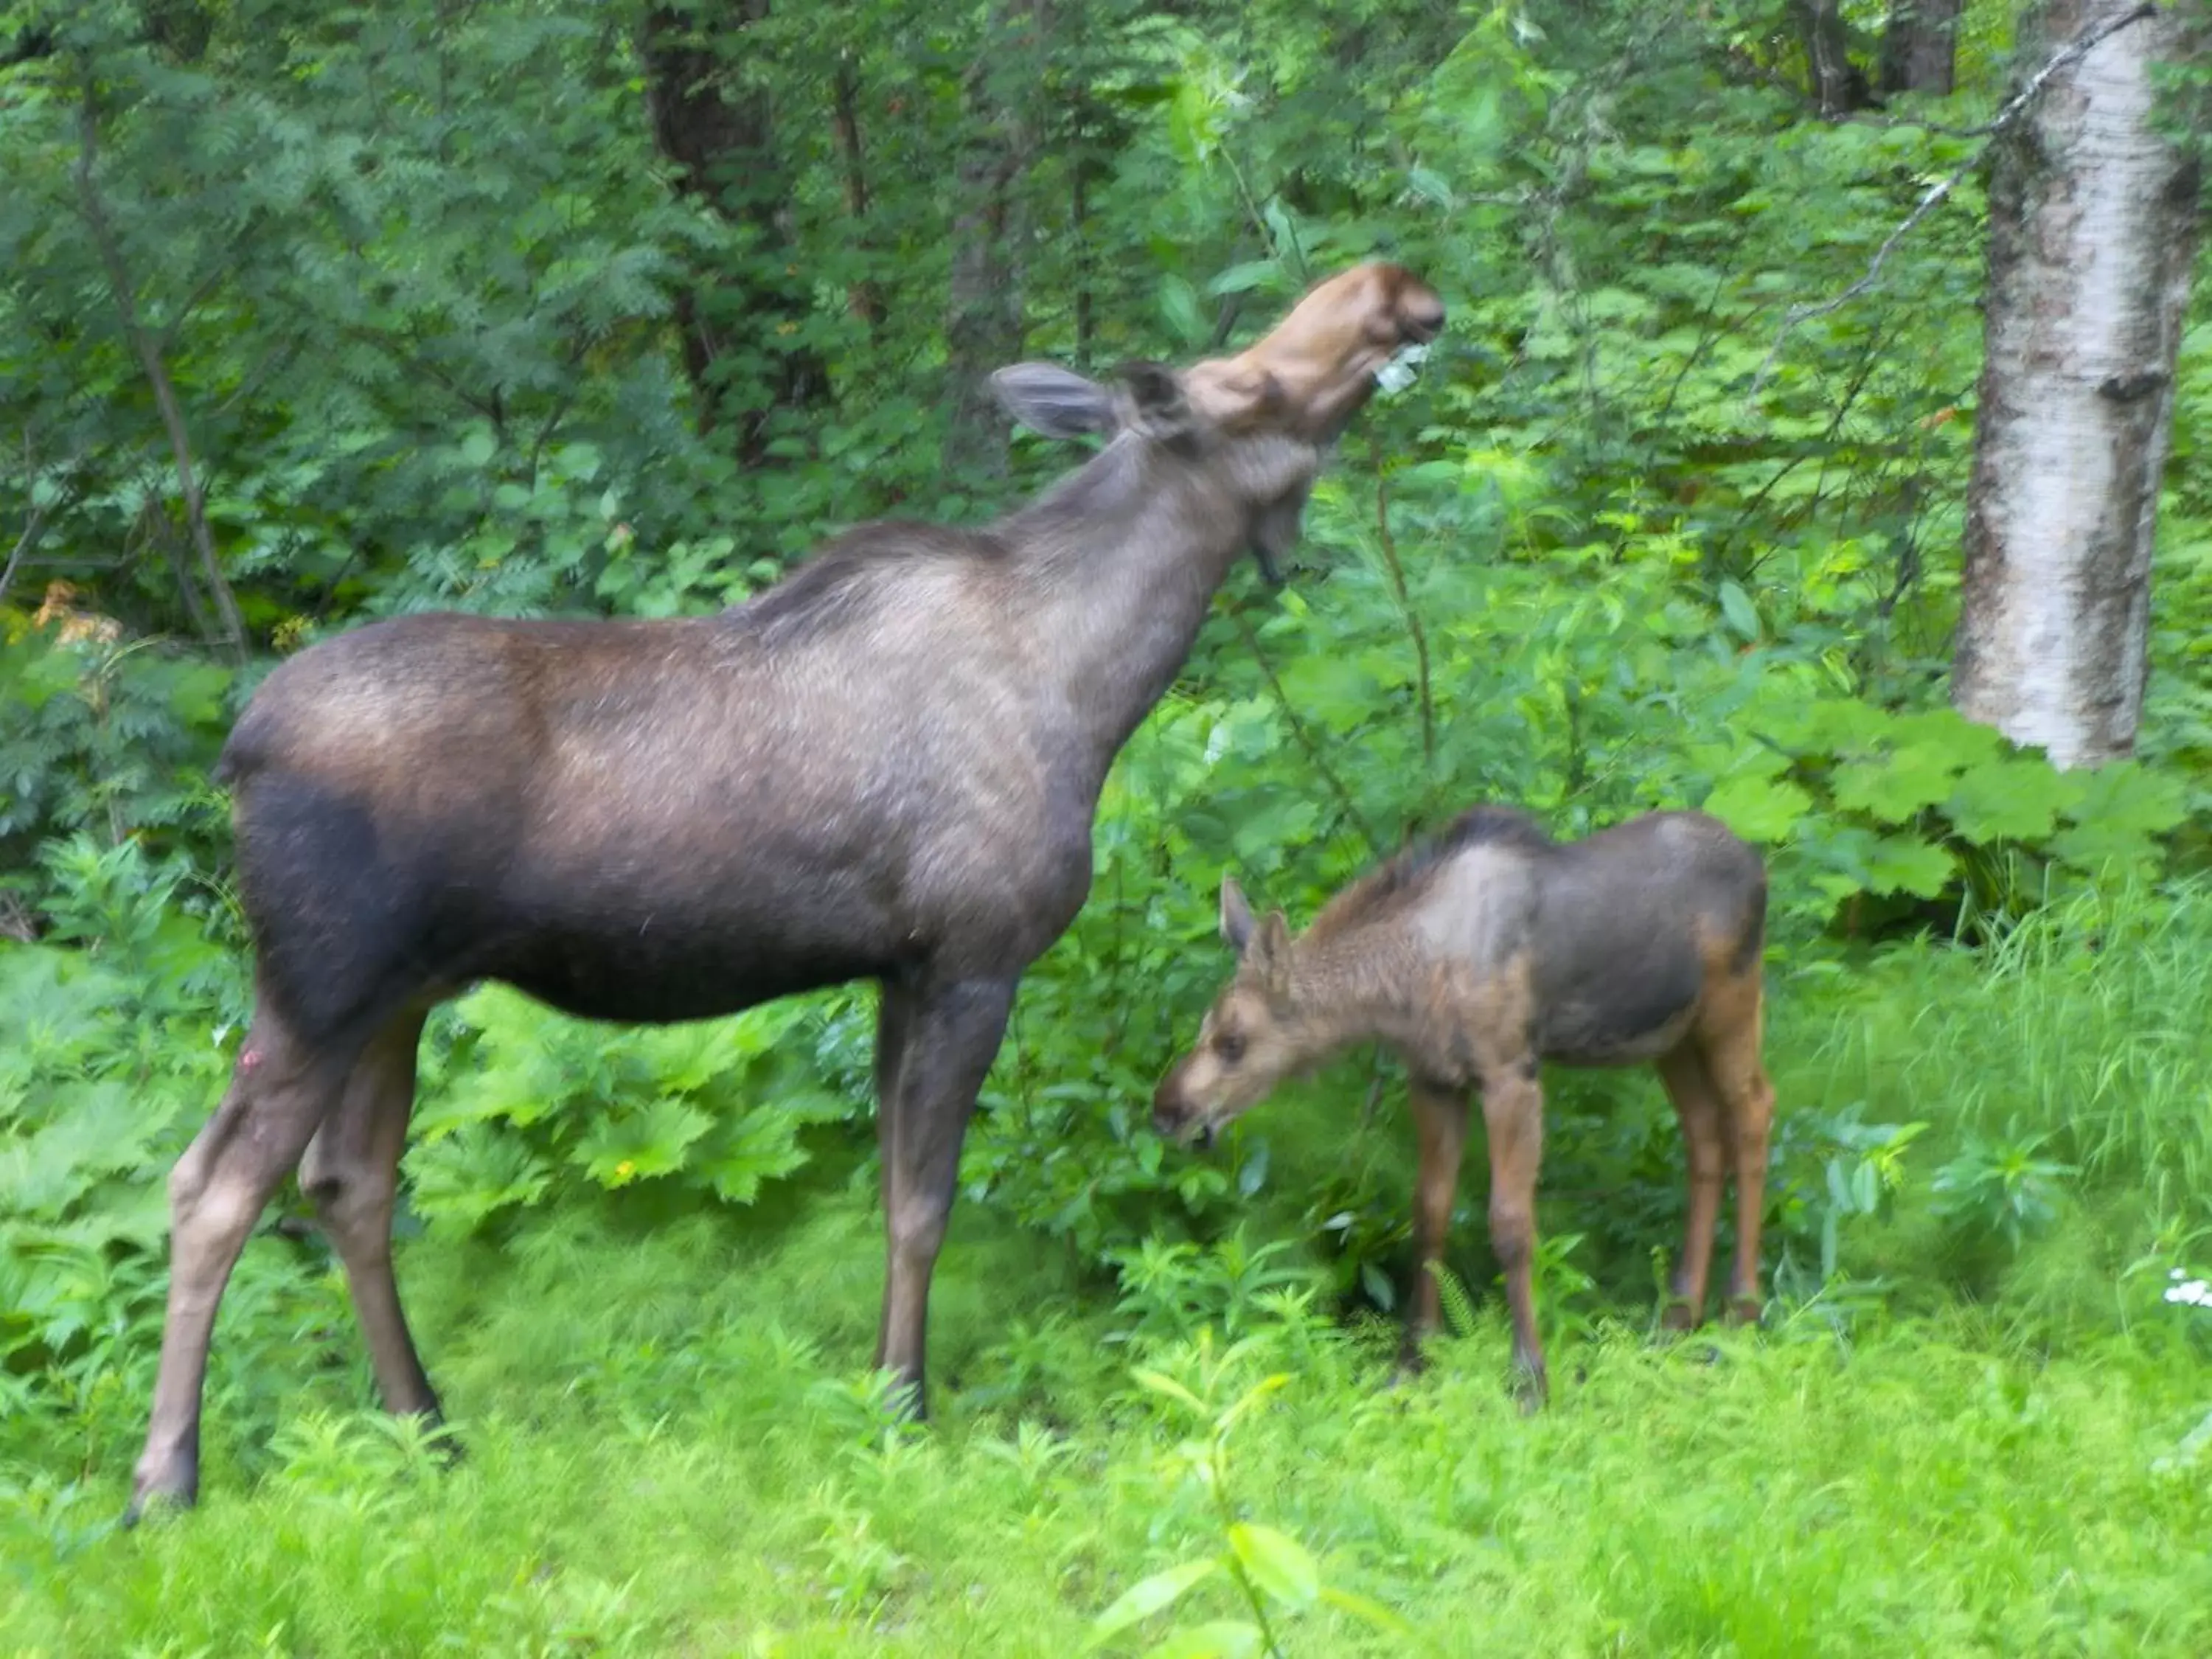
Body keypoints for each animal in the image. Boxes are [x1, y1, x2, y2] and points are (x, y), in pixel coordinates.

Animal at [133, 257, 1451, 1522]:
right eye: (1257, 388)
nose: (1394, 289)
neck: (1095, 684)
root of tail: (239, 752)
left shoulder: (899, 968)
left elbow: (891, 1191)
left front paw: (880, 1389)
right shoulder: (976, 957)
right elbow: (925, 1203)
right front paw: (908, 1408)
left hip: (398, 998)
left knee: (346, 1187)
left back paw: (427, 1427)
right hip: (319, 983)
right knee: (213, 1186)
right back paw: (167, 1482)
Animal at [1150, 814, 1770, 1407]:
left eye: (1234, 1042)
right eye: (1204, 1026)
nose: (1167, 1111)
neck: (1405, 985)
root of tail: (1756, 862)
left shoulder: (1510, 1074)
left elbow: (1511, 1225)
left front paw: (1530, 1380)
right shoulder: (1434, 1081)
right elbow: (1429, 1213)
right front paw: (1410, 1364)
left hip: (1731, 1005)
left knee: (1755, 1112)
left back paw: (1740, 1313)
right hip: (1672, 1037)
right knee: (1704, 1134)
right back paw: (1677, 1320)